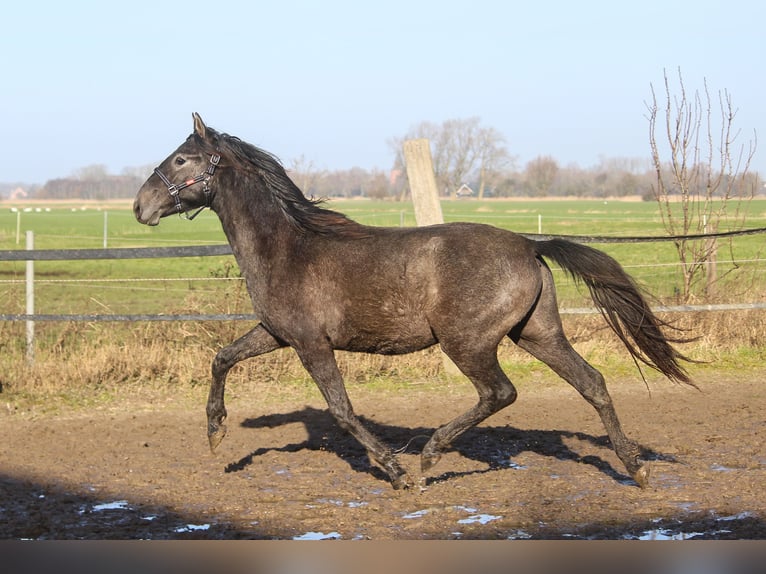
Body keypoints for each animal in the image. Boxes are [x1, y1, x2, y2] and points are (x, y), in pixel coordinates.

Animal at [135, 112, 692, 490]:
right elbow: (221, 358)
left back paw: (428, 457)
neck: (288, 246)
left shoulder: (311, 344)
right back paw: (636, 469)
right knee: (592, 383)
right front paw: (215, 434)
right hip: (537, 334)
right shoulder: (276, 333)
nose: (141, 206)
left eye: (181, 158)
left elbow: (341, 410)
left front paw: (395, 470)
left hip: (467, 342)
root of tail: (529, 244)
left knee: (500, 393)